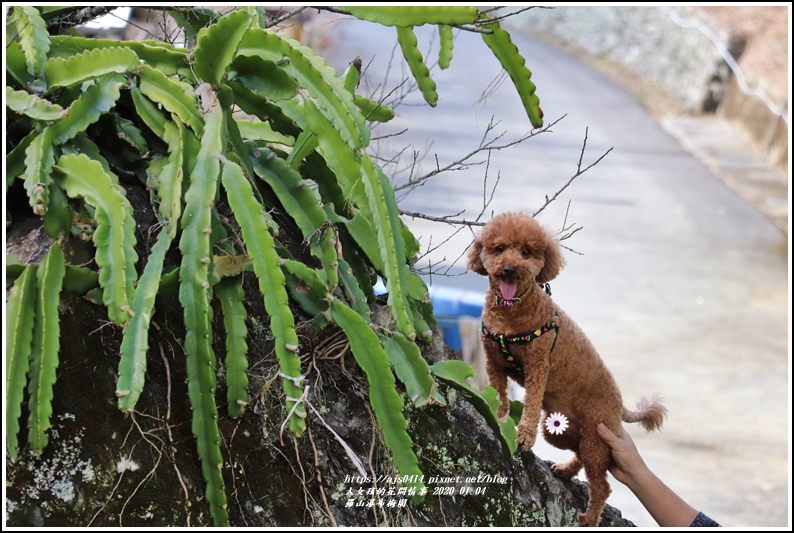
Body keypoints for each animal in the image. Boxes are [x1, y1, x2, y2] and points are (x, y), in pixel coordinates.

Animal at [468, 211, 664, 524]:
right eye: (499, 248)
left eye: (527, 252)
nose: (510, 269)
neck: (512, 309)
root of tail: (619, 404)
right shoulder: (493, 362)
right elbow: (499, 393)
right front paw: (498, 415)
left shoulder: (538, 366)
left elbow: (530, 405)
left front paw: (523, 435)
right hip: (564, 431)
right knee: (580, 455)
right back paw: (565, 471)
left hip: (597, 436)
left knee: (602, 485)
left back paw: (589, 518)